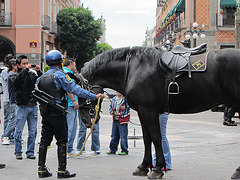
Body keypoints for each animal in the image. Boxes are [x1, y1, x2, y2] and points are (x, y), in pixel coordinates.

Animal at [80, 46, 240, 179]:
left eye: (82, 92)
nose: (85, 121)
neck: (133, 67)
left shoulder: (149, 111)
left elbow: (156, 138)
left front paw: (157, 169)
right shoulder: (142, 112)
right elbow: (147, 139)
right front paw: (144, 166)